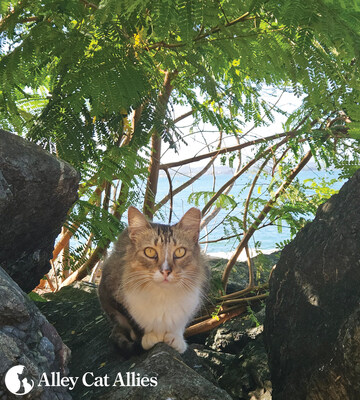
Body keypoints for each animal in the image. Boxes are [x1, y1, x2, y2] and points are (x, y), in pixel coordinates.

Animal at [97, 206, 210, 354]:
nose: (166, 271)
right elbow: (134, 323)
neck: (163, 295)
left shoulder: (193, 303)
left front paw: (176, 338)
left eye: (180, 252)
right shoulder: (113, 295)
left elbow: (180, 323)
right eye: (149, 252)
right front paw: (149, 337)